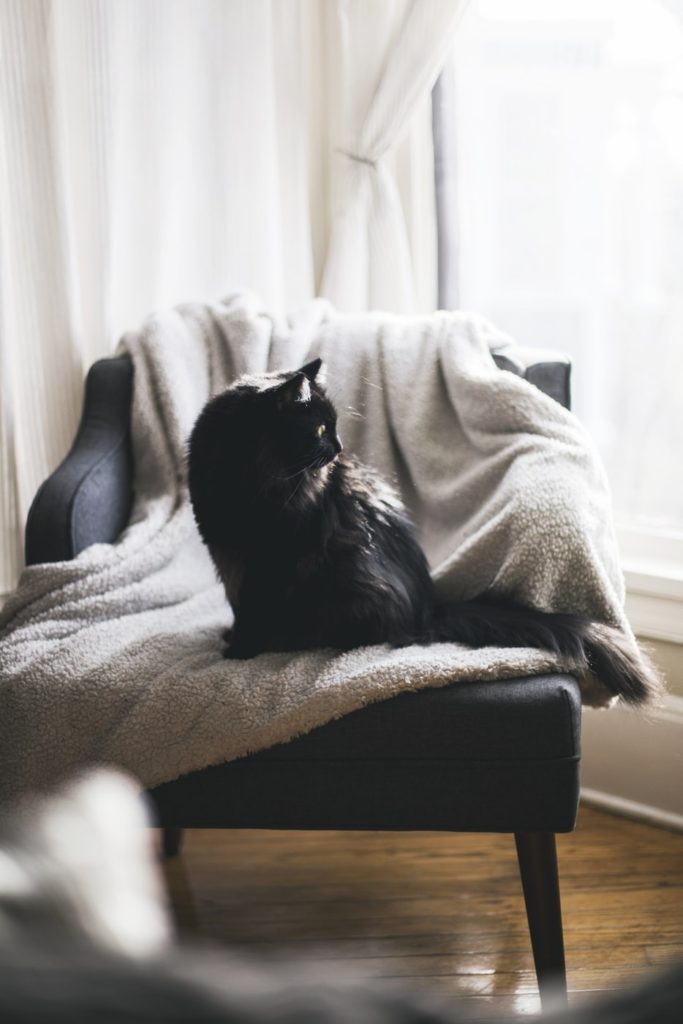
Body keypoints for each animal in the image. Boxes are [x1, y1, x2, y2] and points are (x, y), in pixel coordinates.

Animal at [187, 358, 663, 704]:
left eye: (334, 426)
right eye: (320, 429)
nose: (340, 448)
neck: (241, 480)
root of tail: (427, 608)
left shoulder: (268, 562)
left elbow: (253, 611)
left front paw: (239, 652)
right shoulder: (227, 554)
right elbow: (239, 607)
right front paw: (233, 641)